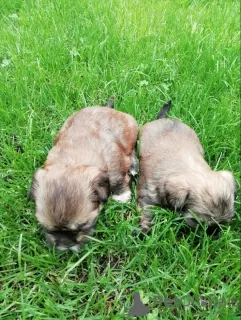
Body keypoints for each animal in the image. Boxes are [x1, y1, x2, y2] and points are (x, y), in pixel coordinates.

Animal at [29, 96, 139, 251]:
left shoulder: (113, 159)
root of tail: (105, 108)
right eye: (48, 228)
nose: (65, 246)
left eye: (83, 225)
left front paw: (121, 195)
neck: (73, 161)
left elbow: (116, 177)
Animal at [137, 100, 237, 232]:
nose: (213, 233)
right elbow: (147, 214)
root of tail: (164, 119)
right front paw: (144, 230)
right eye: (196, 222)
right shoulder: (147, 196)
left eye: (224, 223)